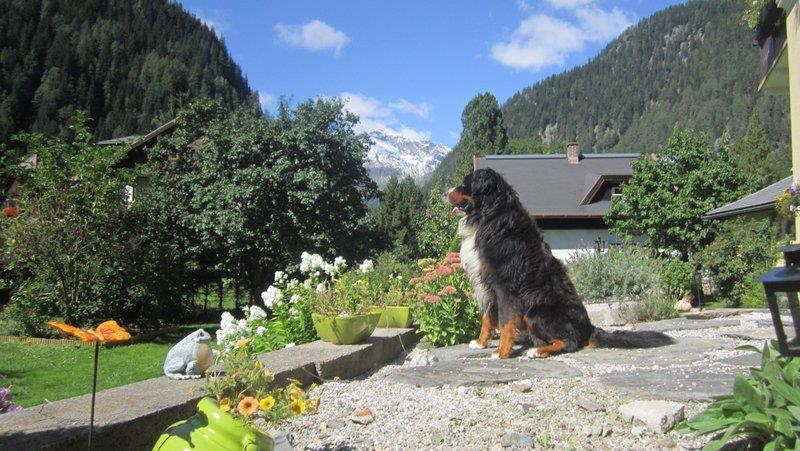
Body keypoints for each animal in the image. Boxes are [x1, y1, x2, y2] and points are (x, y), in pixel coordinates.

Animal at [448, 168, 673, 359]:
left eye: (464, 184)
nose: (446, 192)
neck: (492, 215)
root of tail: (589, 328)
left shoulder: (503, 287)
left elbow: (505, 322)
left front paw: (502, 352)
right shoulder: (488, 283)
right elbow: (488, 317)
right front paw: (480, 343)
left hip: (535, 313)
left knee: (570, 342)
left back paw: (537, 351)